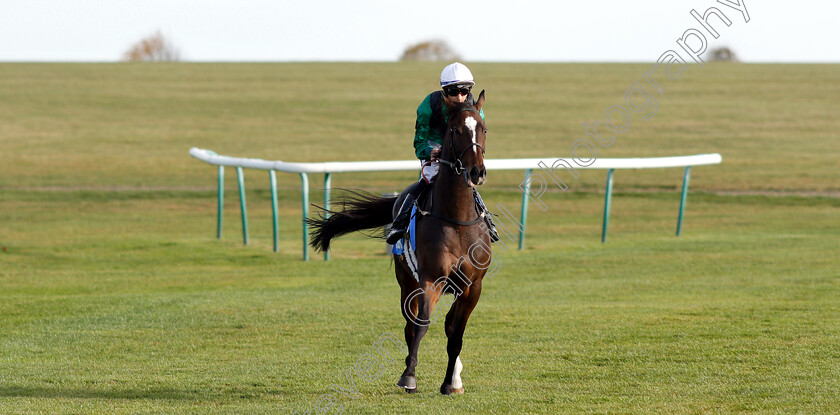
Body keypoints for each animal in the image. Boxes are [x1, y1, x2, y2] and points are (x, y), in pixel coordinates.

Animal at [306, 89, 492, 394]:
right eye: (455, 130)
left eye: (483, 129)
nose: (477, 172)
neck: (456, 219)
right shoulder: (430, 279)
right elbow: (421, 325)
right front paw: (409, 376)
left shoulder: (472, 286)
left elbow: (456, 333)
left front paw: (450, 382)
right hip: (405, 281)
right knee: (409, 325)